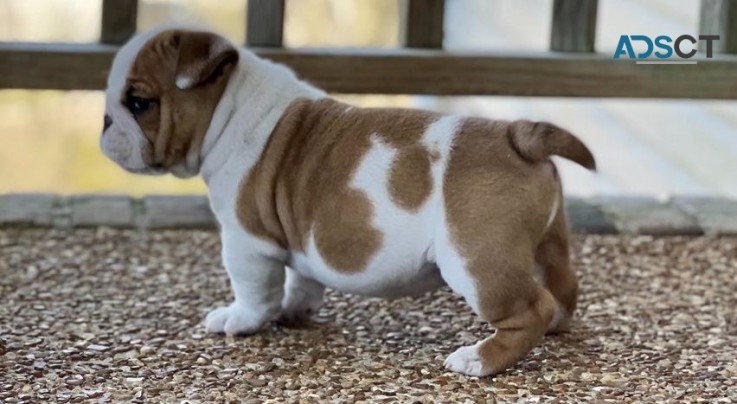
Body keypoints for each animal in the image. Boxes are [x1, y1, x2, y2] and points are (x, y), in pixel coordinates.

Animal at [100, 25, 596, 378]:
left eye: (140, 103)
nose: (104, 122)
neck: (232, 106)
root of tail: (517, 134)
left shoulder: (246, 241)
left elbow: (254, 288)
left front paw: (241, 320)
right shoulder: (296, 234)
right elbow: (301, 278)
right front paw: (294, 310)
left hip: (475, 260)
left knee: (529, 309)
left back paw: (479, 359)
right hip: (546, 242)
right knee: (562, 284)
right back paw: (554, 323)